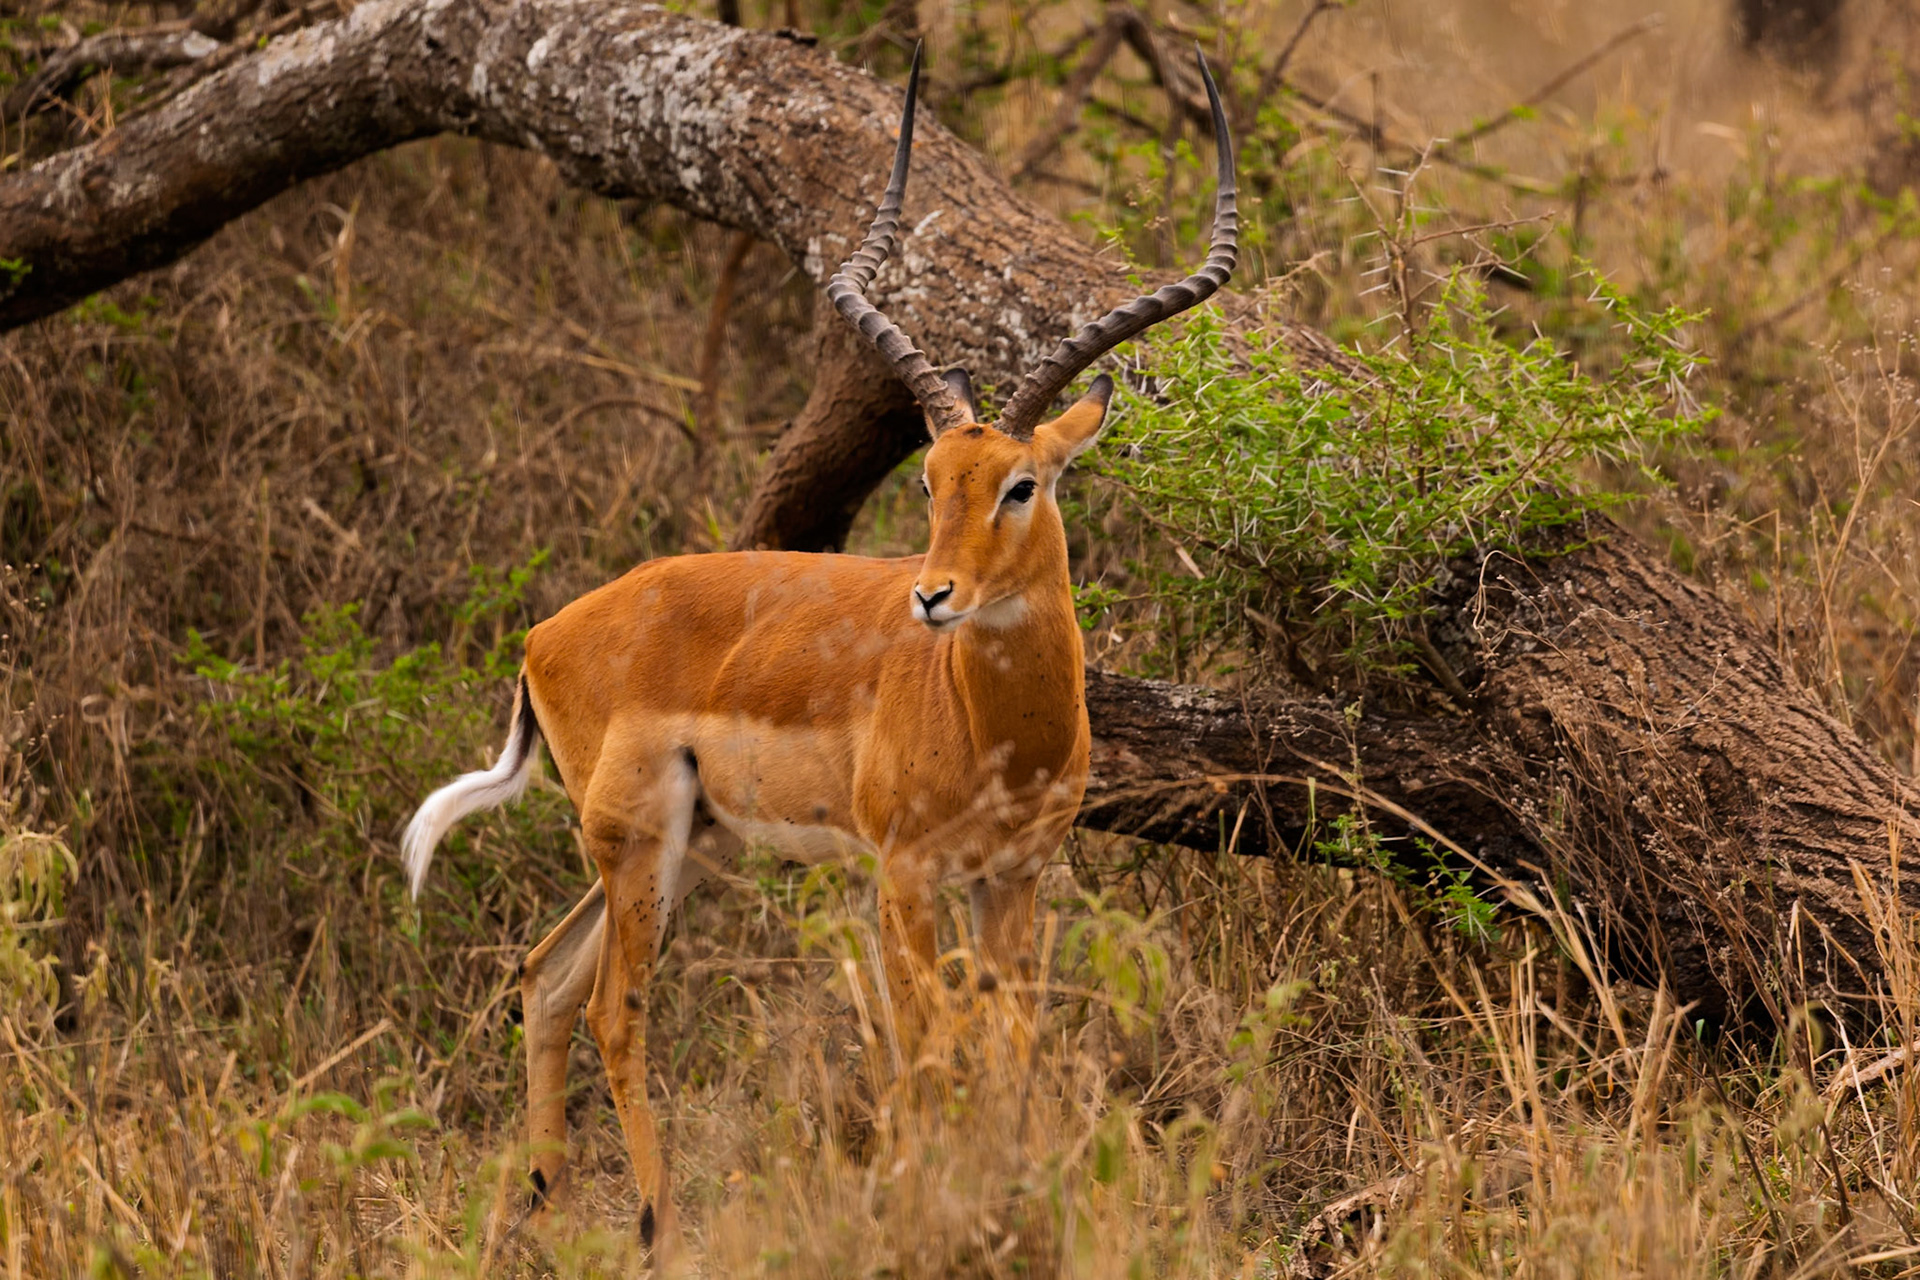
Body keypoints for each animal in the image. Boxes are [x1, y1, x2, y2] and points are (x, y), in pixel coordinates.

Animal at [400, 46, 1237, 1240]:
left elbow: (1013, 1045)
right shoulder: (905, 874)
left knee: (545, 976)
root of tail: (543, 635)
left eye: (1020, 483)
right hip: (641, 844)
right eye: (928, 479)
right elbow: (931, 1046)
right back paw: (655, 1223)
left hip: (686, 845)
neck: (1000, 730)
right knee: (613, 1006)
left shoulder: (1014, 877)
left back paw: (550, 1212)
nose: (933, 596)